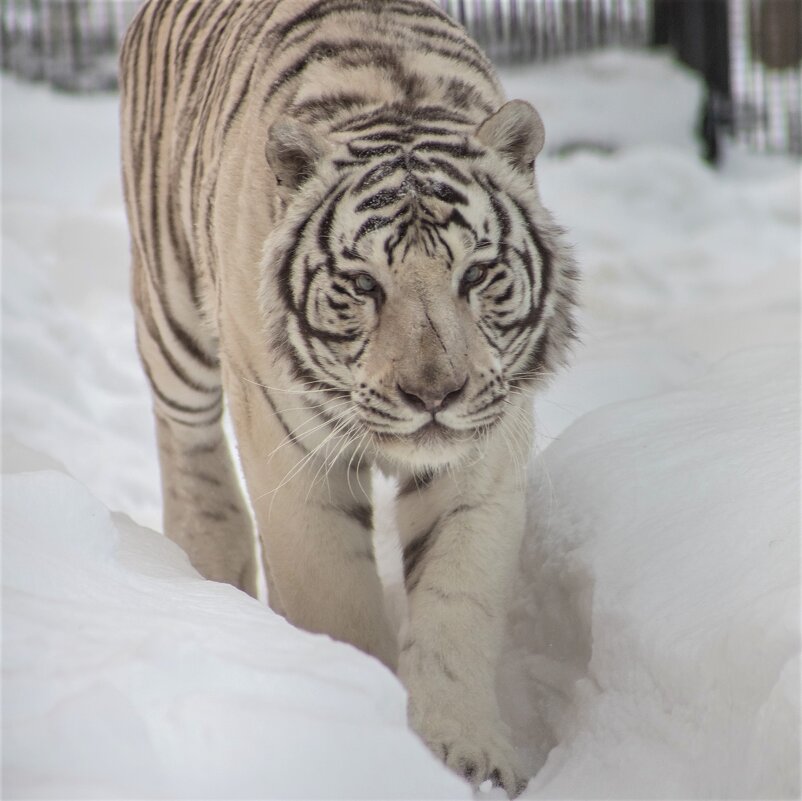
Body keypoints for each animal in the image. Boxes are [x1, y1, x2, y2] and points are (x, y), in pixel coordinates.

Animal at [120, 0, 576, 792]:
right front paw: (363, 719)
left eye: (476, 274)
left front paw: (468, 758)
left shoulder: (480, 460)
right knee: (188, 441)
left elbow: (457, 605)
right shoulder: (295, 460)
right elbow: (337, 602)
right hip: (171, 309)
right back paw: (209, 568)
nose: (434, 391)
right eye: (364, 284)